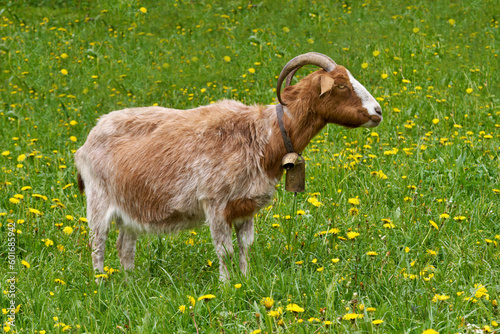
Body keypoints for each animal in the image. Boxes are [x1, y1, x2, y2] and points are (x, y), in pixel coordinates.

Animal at [74, 52, 382, 282]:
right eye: (340, 84)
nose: (378, 111)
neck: (262, 135)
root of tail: (87, 141)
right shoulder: (215, 203)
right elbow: (225, 251)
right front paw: (225, 286)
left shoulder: (245, 206)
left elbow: (244, 248)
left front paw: (244, 281)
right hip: (98, 198)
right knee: (98, 243)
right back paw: (101, 284)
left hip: (130, 206)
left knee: (125, 247)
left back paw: (130, 283)